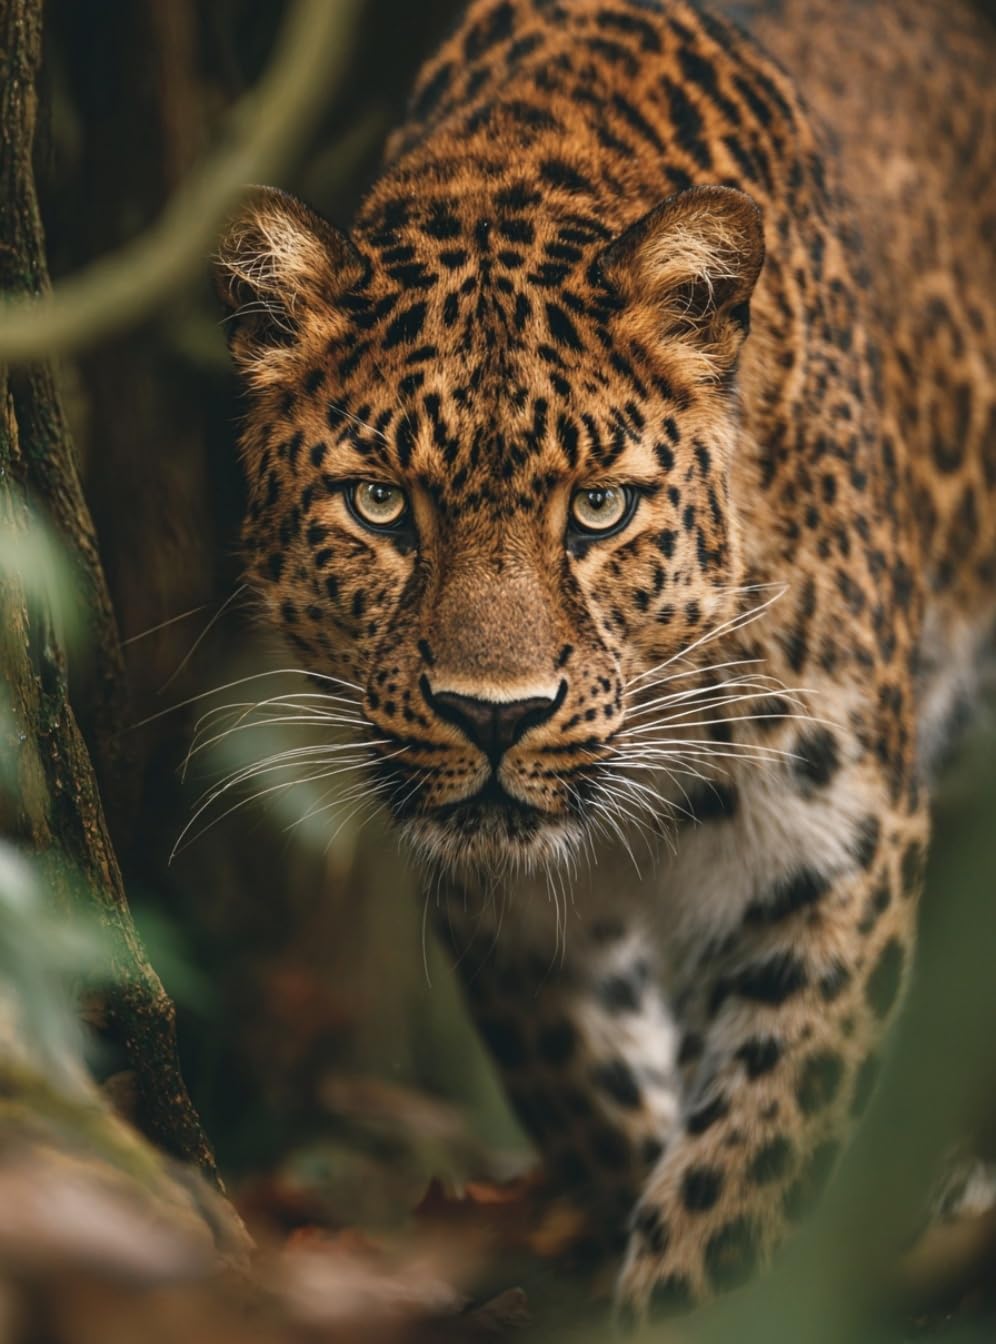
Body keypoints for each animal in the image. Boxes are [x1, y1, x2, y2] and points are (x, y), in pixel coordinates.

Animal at [213, 0, 996, 1320]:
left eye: (598, 509)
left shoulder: (834, 849)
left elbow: (744, 1180)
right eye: (381, 504)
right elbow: (600, 1102)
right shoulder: (502, 905)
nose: (494, 717)